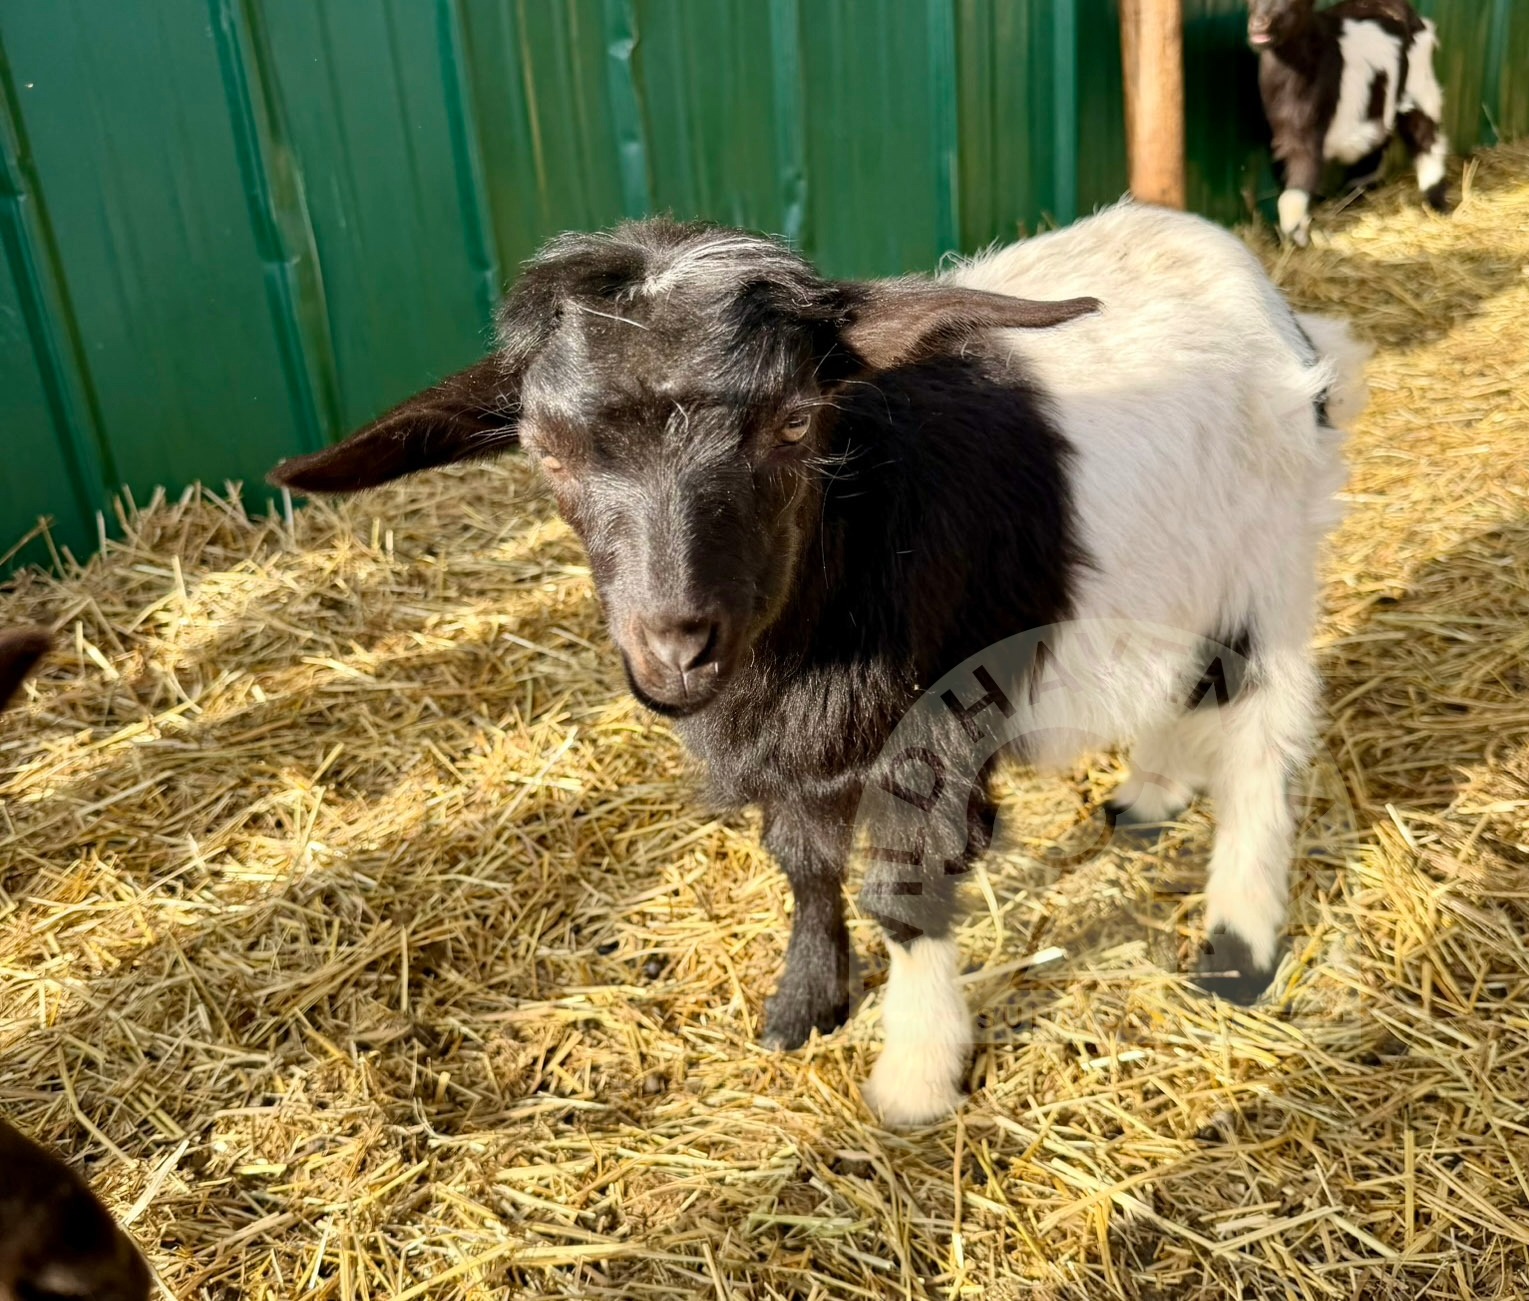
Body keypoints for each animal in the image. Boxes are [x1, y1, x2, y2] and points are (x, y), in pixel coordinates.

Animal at [271, 202, 1369, 1126]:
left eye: (794, 421)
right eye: (545, 450)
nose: (675, 645)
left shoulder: (931, 725)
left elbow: (901, 892)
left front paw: (915, 1076)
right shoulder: (797, 736)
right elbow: (802, 861)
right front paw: (804, 1005)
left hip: (1268, 563)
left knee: (1261, 742)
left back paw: (1238, 946)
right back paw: (1150, 793)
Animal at [1248, 0, 1449, 245]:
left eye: (1292, 3)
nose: (1259, 24)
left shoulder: (1309, 129)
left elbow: (1299, 182)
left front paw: (1295, 237)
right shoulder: (1283, 133)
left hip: (1419, 83)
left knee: (1425, 135)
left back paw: (1437, 201)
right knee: (1379, 141)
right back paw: (1353, 196)